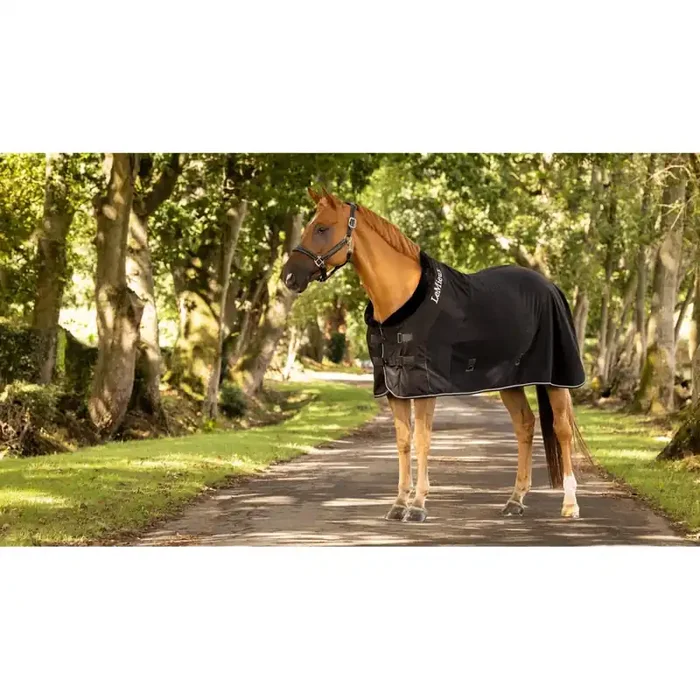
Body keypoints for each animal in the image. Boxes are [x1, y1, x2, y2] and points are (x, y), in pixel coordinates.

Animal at [282, 188, 591, 524]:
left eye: (322, 228)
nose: (288, 277)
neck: (401, 300)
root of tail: (551, 287)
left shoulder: (423, 387)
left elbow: (422, 440)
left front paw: (418, 506)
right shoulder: (395, 388)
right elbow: (403, 442)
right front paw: (399, 504)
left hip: (555, 378)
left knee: (562, 430)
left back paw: (570, 504)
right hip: (510, 381)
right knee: (524, 424)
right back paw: (515, 500)